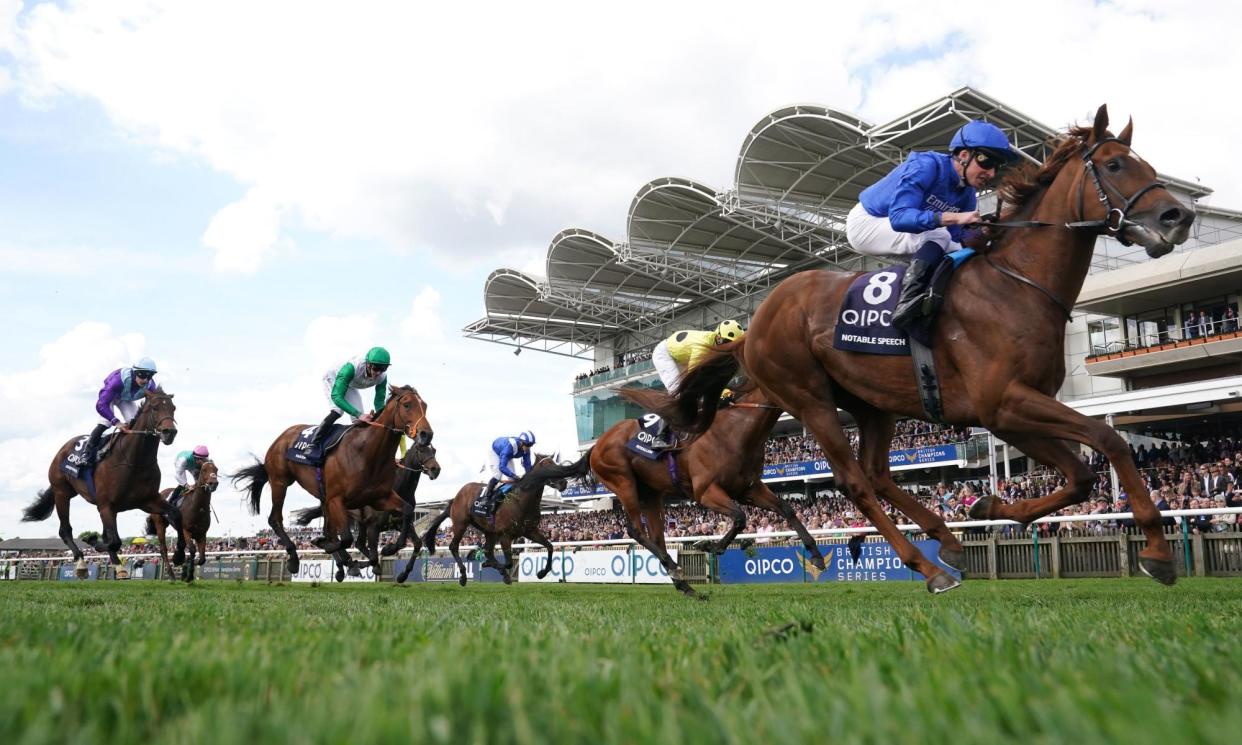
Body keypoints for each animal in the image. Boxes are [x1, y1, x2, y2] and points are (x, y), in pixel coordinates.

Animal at [23, 387, 180, 568]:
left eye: (173, 408)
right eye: (155, 407)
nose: (170, 432)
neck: (133, 461)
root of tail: (63, 449)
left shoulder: (147, 501)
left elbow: (175, 514)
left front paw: (182, 553)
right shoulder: (106, 506)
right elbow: (114, 541)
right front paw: (91, 540)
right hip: (61, 492)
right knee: (65, 529)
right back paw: (79, 556)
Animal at [640, 106, 1192, 593]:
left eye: (1148, 164)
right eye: (1115, 164)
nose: (1179, 215)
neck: (1016, 285)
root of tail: (755, 324)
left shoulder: (1009, 413)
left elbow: (1080, 476)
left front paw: (987, 508)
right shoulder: (1005, 402)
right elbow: (1110, 438)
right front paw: (1158, 552)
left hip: (872, 403)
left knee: (879, 474)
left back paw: (947, 541)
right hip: (809, 397)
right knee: (854, 481)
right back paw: (928, 569)